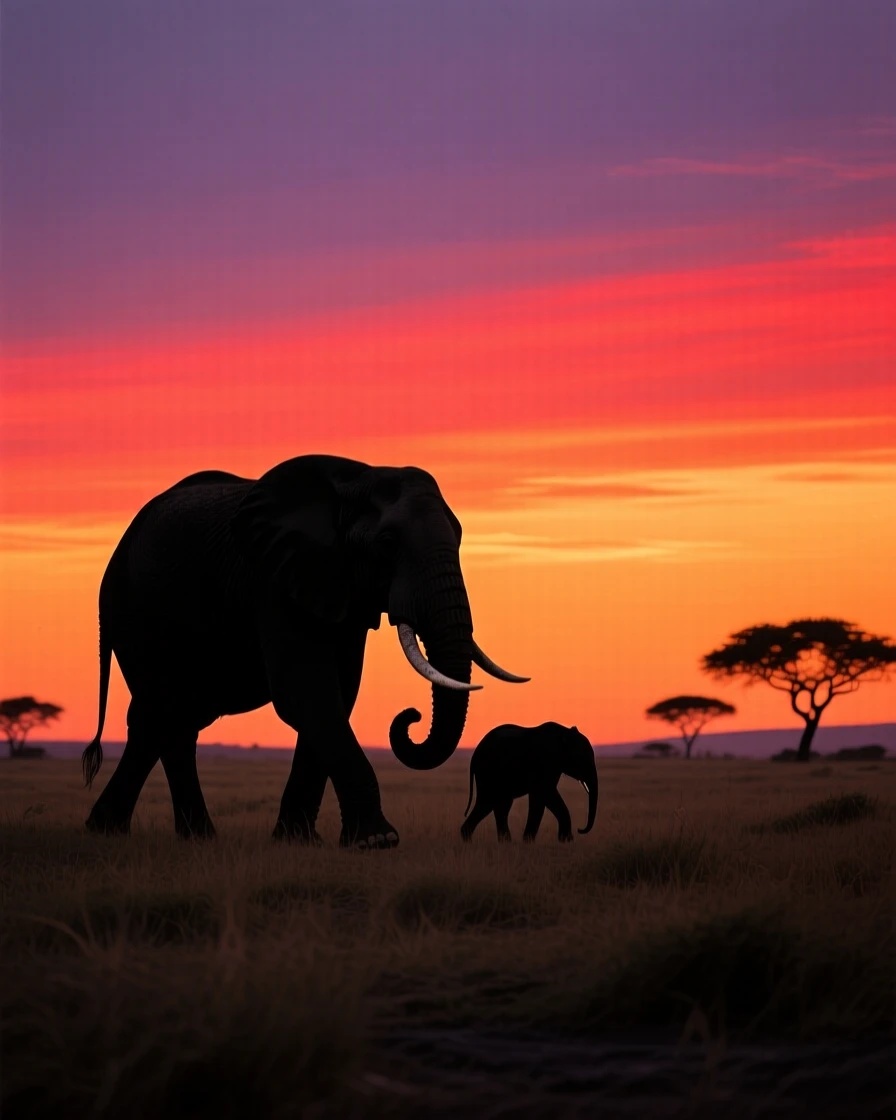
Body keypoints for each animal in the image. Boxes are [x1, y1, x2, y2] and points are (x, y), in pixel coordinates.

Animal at [80, 455, 528, 848]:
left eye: (459, 536)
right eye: (386, 543)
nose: (411, 716)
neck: (356, 479)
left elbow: (338, 696)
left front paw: (300, 841)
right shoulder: (275, 580)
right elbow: (307, 694)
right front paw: (378, 841)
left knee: (167, 719)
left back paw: (148, 833)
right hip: (136, 612)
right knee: (164, 713)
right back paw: (134, 833)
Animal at [460, 722, 597, 843]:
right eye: (583, 759)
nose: (580, 829)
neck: (564, 733)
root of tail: (475, 754)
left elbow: (547, 796)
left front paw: (565, 840)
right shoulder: (546, 761)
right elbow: (543, 794)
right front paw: (529, 841)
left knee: (500, 805)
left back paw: (504, 843)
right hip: (488, 772)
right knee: (487, 802)